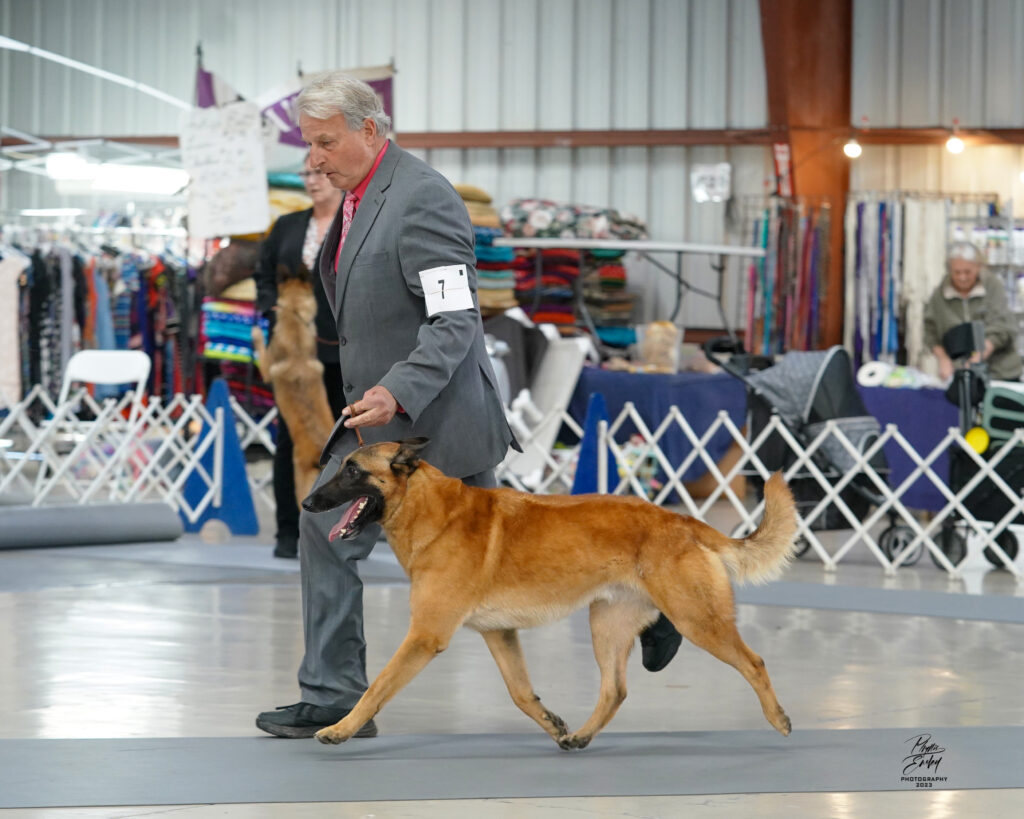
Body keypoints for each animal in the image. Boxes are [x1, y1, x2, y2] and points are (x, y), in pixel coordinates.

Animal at [299, 438, 794, 753]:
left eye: (353, 470)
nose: (306, 503)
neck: (432, 511)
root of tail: (682, 520)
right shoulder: (499, 634)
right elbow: (520, 693)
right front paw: (553, 725)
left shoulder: (424, 637)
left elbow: (377, 687)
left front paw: (340, 729)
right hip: (607, 627)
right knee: (615, 690)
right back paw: (581, 737)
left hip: (698, 621)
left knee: (754, 662)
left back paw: (778, 718)